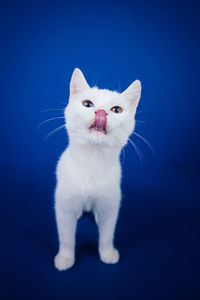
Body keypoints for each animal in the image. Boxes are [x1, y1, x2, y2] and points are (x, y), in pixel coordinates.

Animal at [54, 69, 141, 270]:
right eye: (87, 104)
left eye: (116, 110)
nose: (101, 112)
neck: (92, 162)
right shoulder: (64, 206)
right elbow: (66, 236)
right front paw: (65, 258)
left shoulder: (110, 205)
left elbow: (107, 234)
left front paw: (107, 253)